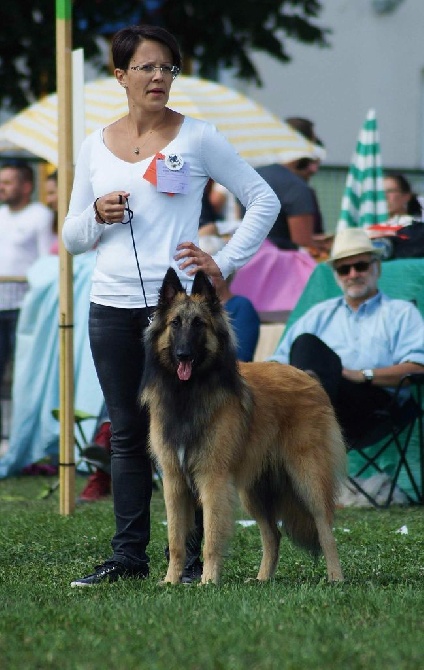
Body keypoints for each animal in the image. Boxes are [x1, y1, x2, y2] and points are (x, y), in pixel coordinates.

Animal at [141, 266, 346, 584]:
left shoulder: (212, 479)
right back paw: (263, 579)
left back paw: (335, 577)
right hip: (254, 491)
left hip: (307, 477)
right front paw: (171, 581)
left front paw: (208, 581)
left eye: (199, 324)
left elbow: (211, 536)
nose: (183, 355)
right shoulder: (174, 481)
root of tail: (309, 377)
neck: (188, 394)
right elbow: (176, 539)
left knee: (325, 528)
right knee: (273, 534)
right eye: (175, 323)